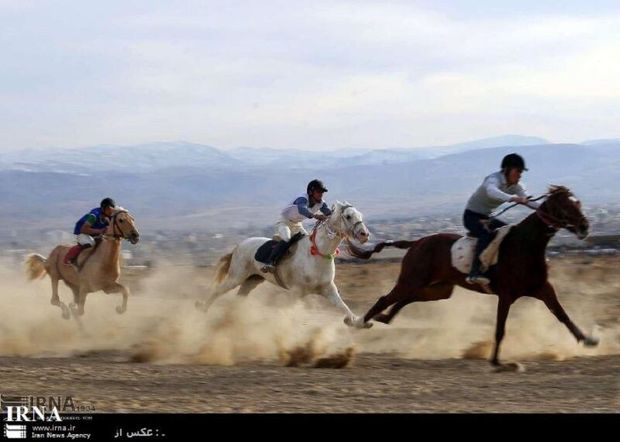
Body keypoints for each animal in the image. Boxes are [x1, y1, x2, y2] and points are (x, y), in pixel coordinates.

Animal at [196, 202, 372, 326]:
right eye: (348, 216)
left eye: (360, 214)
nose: (364, 235)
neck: (317, 253)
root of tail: (238, 246)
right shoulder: (296, 292)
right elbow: (287, 313)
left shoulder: (328, 289)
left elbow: (344, 307)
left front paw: (357, 322)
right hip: (236, 277)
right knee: (217, 291)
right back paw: (203, 311)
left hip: (251, 281)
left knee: (238, 299)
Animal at [346, 185, 600, 368]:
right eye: (565, 206)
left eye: (577, 202)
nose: (585, 227)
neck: (525, 245)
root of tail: (416, 242)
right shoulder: (506, 295)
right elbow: (500, 328)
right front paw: (497, 362)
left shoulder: (543, 288)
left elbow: (562, 315)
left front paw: (588, 340)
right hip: (411, 280)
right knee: (385, 298)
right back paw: (359, 322)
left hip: (438, 288)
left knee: (406, 299)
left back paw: (384, 318)